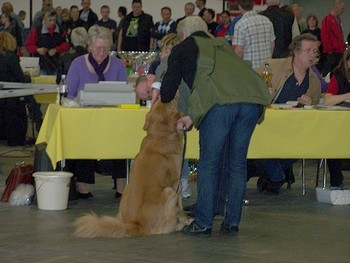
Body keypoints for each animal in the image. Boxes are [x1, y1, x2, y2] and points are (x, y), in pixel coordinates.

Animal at [73, 98, 191, 238]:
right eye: (171, 102)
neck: (159, 136)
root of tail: (135, 223)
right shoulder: (176, 183)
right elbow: (180, 206)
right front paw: (187, 219)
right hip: (169, 192)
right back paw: (178, 226)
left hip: (126, 189)